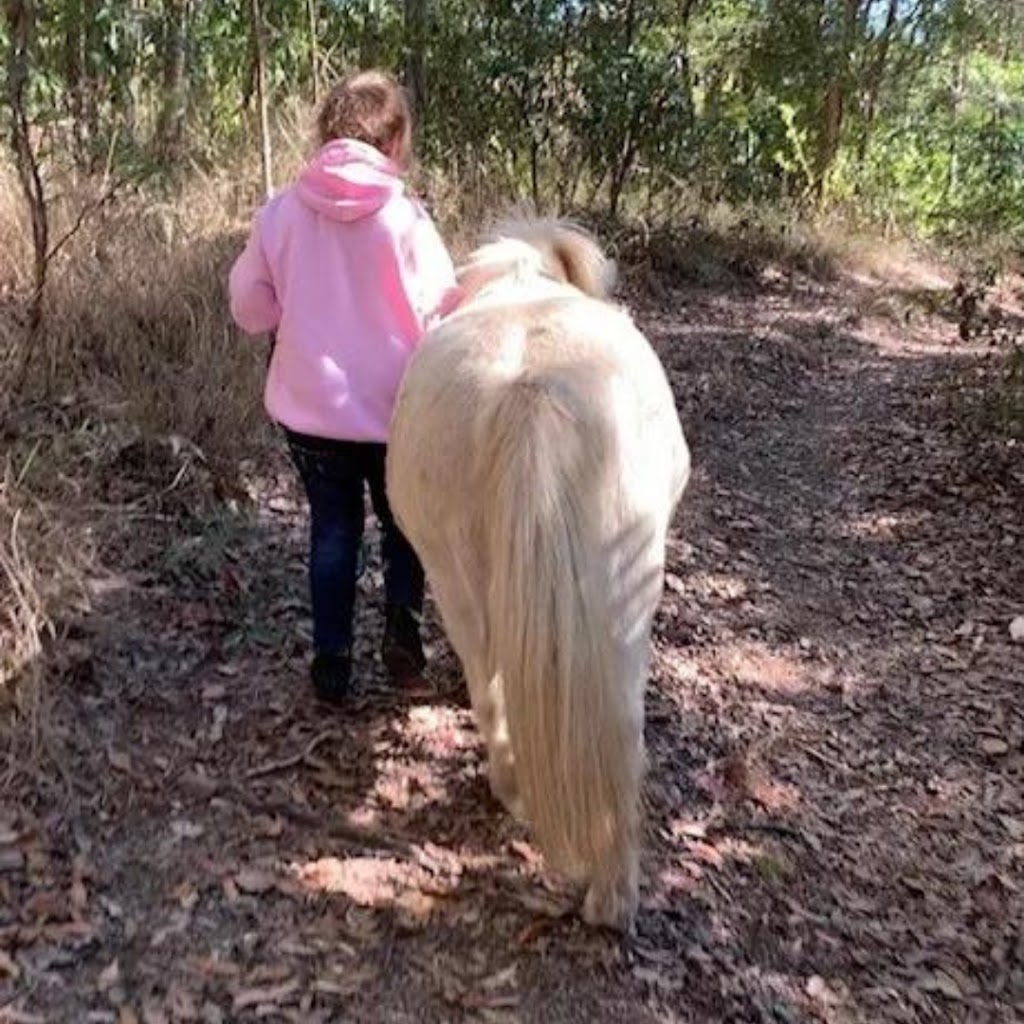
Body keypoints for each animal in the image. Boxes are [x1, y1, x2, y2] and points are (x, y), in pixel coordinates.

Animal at [387, 220, 692, 933]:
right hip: (628, 595)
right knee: (621, 732)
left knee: (489, 688)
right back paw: (614, 898)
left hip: (455, 578)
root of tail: (532, 397)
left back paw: (515, 793)